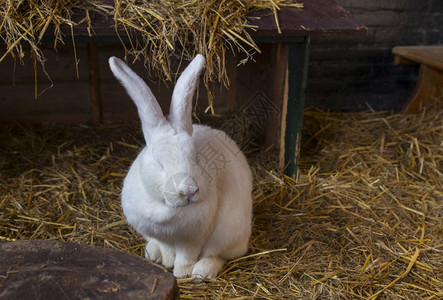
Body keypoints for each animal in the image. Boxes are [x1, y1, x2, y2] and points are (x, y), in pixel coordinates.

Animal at [108, 54, 253, 278]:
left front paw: (181, 273)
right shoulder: (163, 236)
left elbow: (187, 256)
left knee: (219, 255)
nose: (189, 191)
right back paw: (152, 253)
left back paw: (202, 272)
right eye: (160, 163)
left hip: (229, 232)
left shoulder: (193, 238)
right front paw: (167, 262)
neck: (169, 210)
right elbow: (167, 249)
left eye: (196, 158)